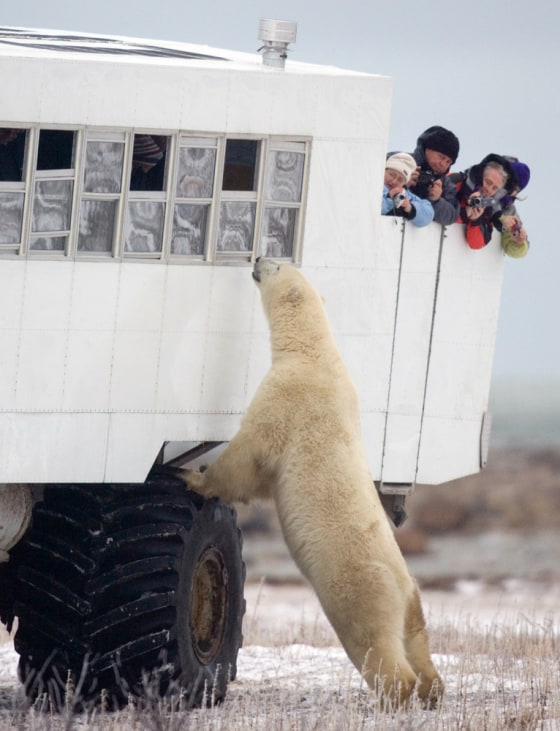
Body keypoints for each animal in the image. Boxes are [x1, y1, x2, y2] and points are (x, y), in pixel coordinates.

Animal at [174, 257, 443, 708]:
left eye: (277, 264)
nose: (257, 259)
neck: (316, 354)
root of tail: (402, 584)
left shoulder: (288, 396)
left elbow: (250, 453)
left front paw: (193, 477)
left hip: (359, 588)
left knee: (372, 641)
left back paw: (396, 692)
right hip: (412, 598)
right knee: (418, 638)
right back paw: (433, 689)